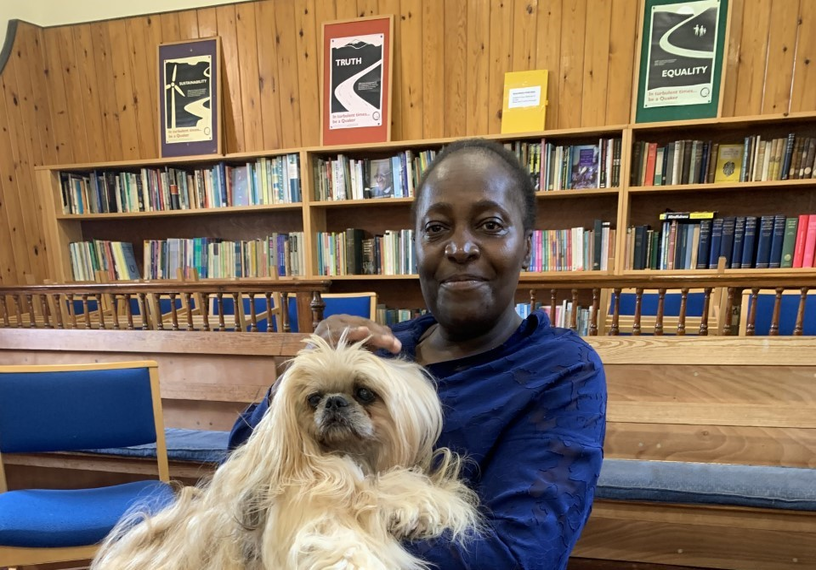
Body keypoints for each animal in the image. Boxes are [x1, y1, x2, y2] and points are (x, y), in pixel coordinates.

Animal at [92, 332, 482, 568]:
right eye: (313, 399)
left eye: (364, 393)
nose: (334, 402)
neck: (353, 458)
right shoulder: (312, 509)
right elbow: (343, 540)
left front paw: (416, 509)